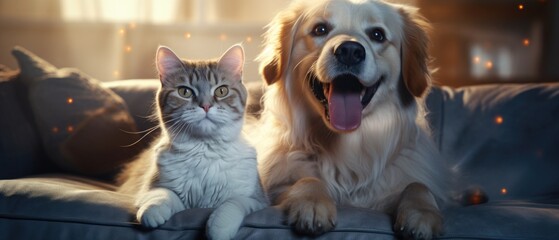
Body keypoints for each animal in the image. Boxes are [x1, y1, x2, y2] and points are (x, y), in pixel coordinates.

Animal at [117, 44, 268, 239]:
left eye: (221, 91)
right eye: (184, 92)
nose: (205, 106)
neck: (204, 151)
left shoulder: (257, 200)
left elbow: (233, 203)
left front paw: (218, 228)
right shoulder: (151, 188)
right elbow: (163, 195)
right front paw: (153, 212)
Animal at [252, 0, 452, 240]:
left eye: (377, 34)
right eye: (320, 29)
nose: (349, 51)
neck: (347, 145)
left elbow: (417, 186)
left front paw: (422, 213)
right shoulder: (275, 186)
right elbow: (306, 179)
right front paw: (312, 203)